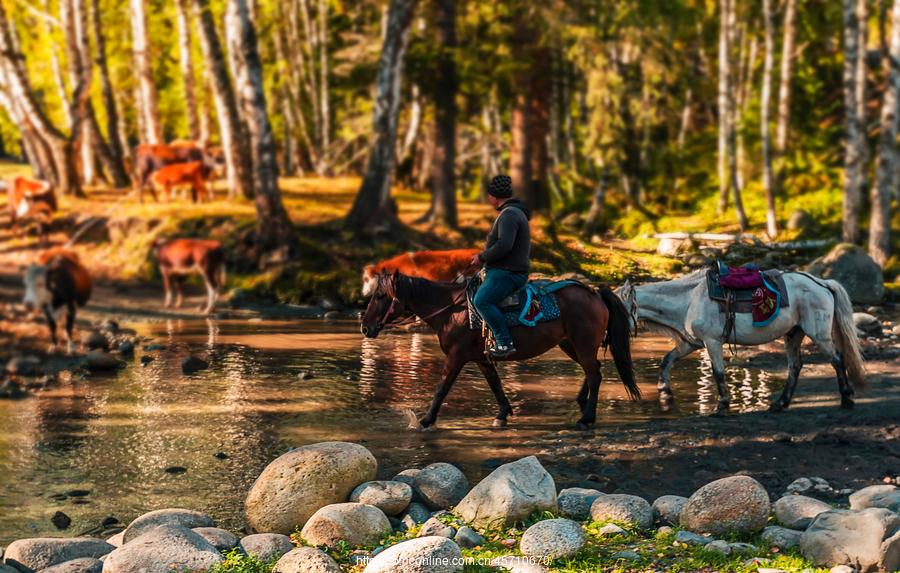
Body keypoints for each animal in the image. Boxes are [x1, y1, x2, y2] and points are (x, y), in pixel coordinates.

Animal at [360, 272, 640, 428]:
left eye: (381, 296)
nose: (365, 327)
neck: (452, 310)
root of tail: (595, 294)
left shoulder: (457, 356)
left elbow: (441, 389)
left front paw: (425, 420)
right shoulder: (482, 358)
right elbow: (495, 385)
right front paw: (503, 414)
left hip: (582, 343)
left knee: (594, 373)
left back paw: (587, 418)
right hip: (570, 343)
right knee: (592, 370)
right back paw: (582, 402)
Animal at [620, 268, 864, 412]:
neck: (689, 299)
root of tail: (821, 283)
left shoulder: (712, 342)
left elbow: (718, 372)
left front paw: (722, 403)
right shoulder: (691, 343)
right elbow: (667, 359)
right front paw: (664, 391)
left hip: (818, 334)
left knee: (837, 359)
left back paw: (846, 398)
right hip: (794, 334)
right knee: (795, 366)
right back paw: (780, 403)